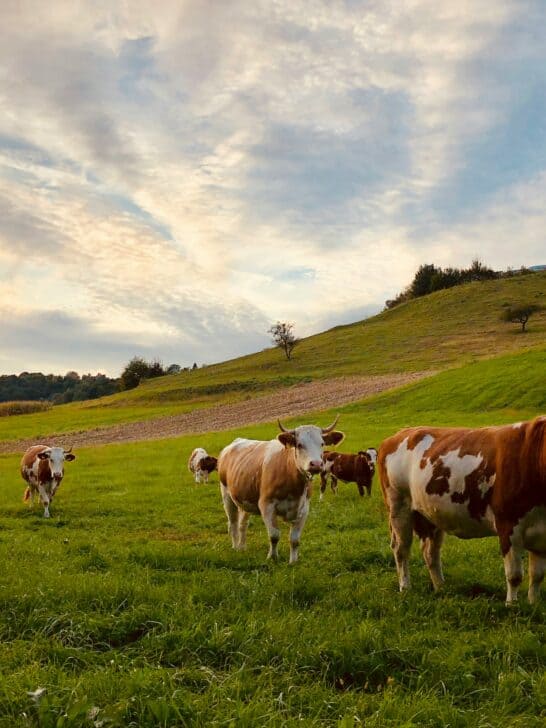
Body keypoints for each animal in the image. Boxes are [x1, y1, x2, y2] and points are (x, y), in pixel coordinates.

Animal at [217, 417, 344, 563]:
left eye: (322, 443)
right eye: (299, 444)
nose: (316, 464)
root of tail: (234, 443)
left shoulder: (304, 508)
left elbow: (295, 539)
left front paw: (293, 562)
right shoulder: (266, 505)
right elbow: (274, 535)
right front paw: (272, 558)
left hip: (244, 499)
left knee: (242, 524)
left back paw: (242, 547)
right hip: (227, 495)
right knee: (232, 524)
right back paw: (235, 547)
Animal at [378, 416, 546, 604]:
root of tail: (398, 434)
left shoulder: (541, 534)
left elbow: (537, 575)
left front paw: (533, 604)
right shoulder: (508, 525)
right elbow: (514, 575)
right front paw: (511, 605)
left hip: (430, 513)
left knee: (430, 552)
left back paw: (441, 588)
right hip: (398, 506)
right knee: (401, 548)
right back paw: (405, 587)